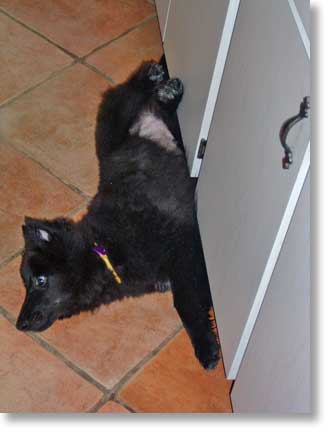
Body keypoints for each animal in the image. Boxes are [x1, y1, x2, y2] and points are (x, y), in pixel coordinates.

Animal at [16, 60, 220, 370]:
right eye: (25, 283)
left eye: (40, 281)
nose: (20, 324)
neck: (105, 249)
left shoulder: (185, 246)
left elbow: (186, 302)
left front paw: (206, 347)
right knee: (156, 106)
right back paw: (166, 90)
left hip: (114, 121)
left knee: (129, 91)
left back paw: (153, 76)